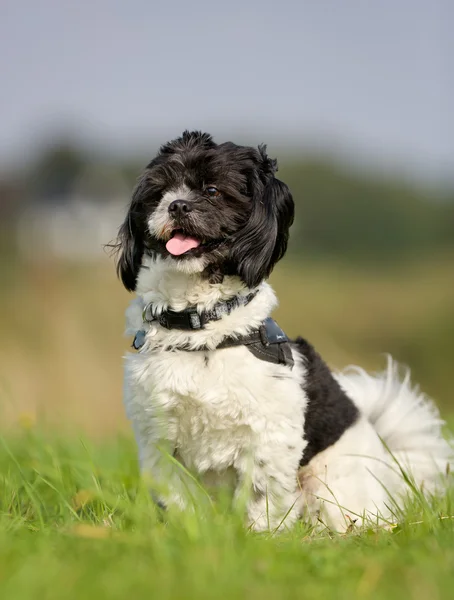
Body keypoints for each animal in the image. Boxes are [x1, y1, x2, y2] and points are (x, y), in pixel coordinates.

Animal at [115, 130, 452, 528]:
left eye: (213, 190)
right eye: (160, 191)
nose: (178, 205)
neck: (200, 330)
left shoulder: (270, 439)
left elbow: (261, 500)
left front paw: (257, 538)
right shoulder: (159, 441)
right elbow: (180, 501)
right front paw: (190, 533)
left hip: (330, 485)